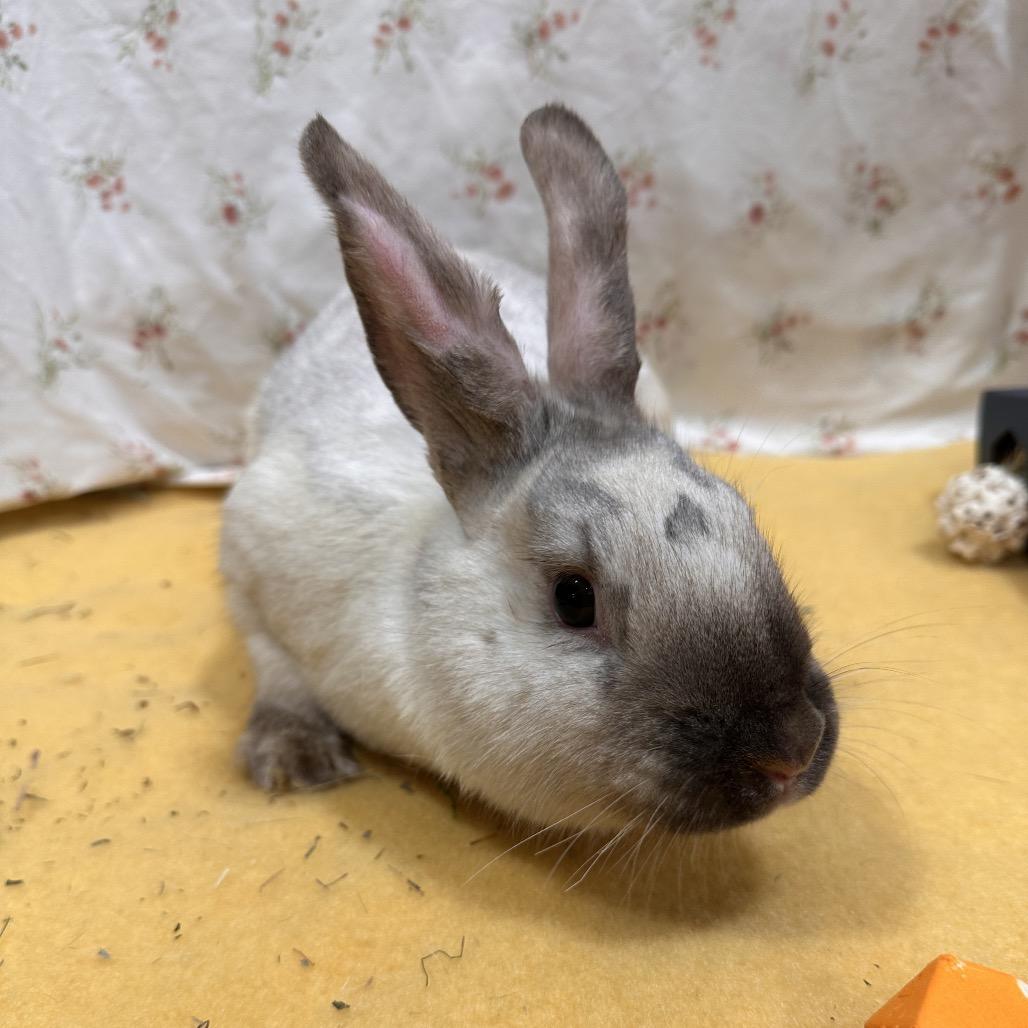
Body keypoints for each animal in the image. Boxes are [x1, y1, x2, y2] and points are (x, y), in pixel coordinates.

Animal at [219, 104, 838, 837]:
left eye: (749, 523)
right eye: (574, 598)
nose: (792, 752)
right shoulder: (252, 544)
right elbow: (270, 660)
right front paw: (295, 758)